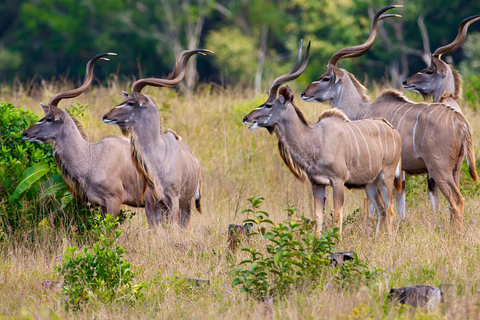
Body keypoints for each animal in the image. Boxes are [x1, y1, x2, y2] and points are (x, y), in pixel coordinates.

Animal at [242, 41, 404, 234]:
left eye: (269, 105)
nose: (246, 118)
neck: (315, 140)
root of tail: (394, 131)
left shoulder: (338, 181)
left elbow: (337, 217)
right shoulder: (317, 184)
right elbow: (318, 218)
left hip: (387, 175)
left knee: (390, 209)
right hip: (371, 183)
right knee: (381, 210)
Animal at [302, 6, 478, 231]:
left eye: (325, 78)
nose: (304, 92)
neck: (362, 111)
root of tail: (461, 122)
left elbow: (372, 204)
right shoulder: (398, 171)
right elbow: (398, 199)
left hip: (439, 169)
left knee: (457, 200)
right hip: (455, 168)